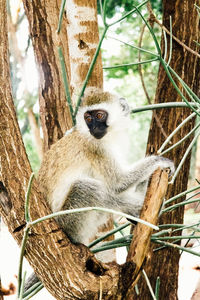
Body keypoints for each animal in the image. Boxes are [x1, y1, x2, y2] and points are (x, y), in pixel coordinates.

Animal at [38, 89, 175, 246]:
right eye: (88, 118)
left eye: (99, 115)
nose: (94, 128)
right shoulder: (96, 148)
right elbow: (118, 182)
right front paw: (160, 161)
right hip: (68, 221)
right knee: (89, 188)